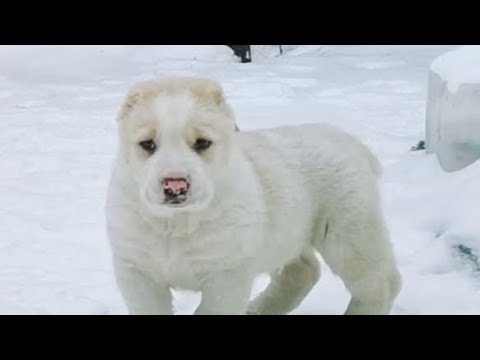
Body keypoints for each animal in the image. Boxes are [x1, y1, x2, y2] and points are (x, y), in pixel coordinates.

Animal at [105, 76, 402, 316]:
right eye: (147, 144)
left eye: (202, 143)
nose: (175, 185)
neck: (176, 224)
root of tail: (347, 139)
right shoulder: (137, 270)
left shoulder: (226, 275)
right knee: (302, 271)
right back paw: (258, 309)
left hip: (350, 229)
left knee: (380, 282)